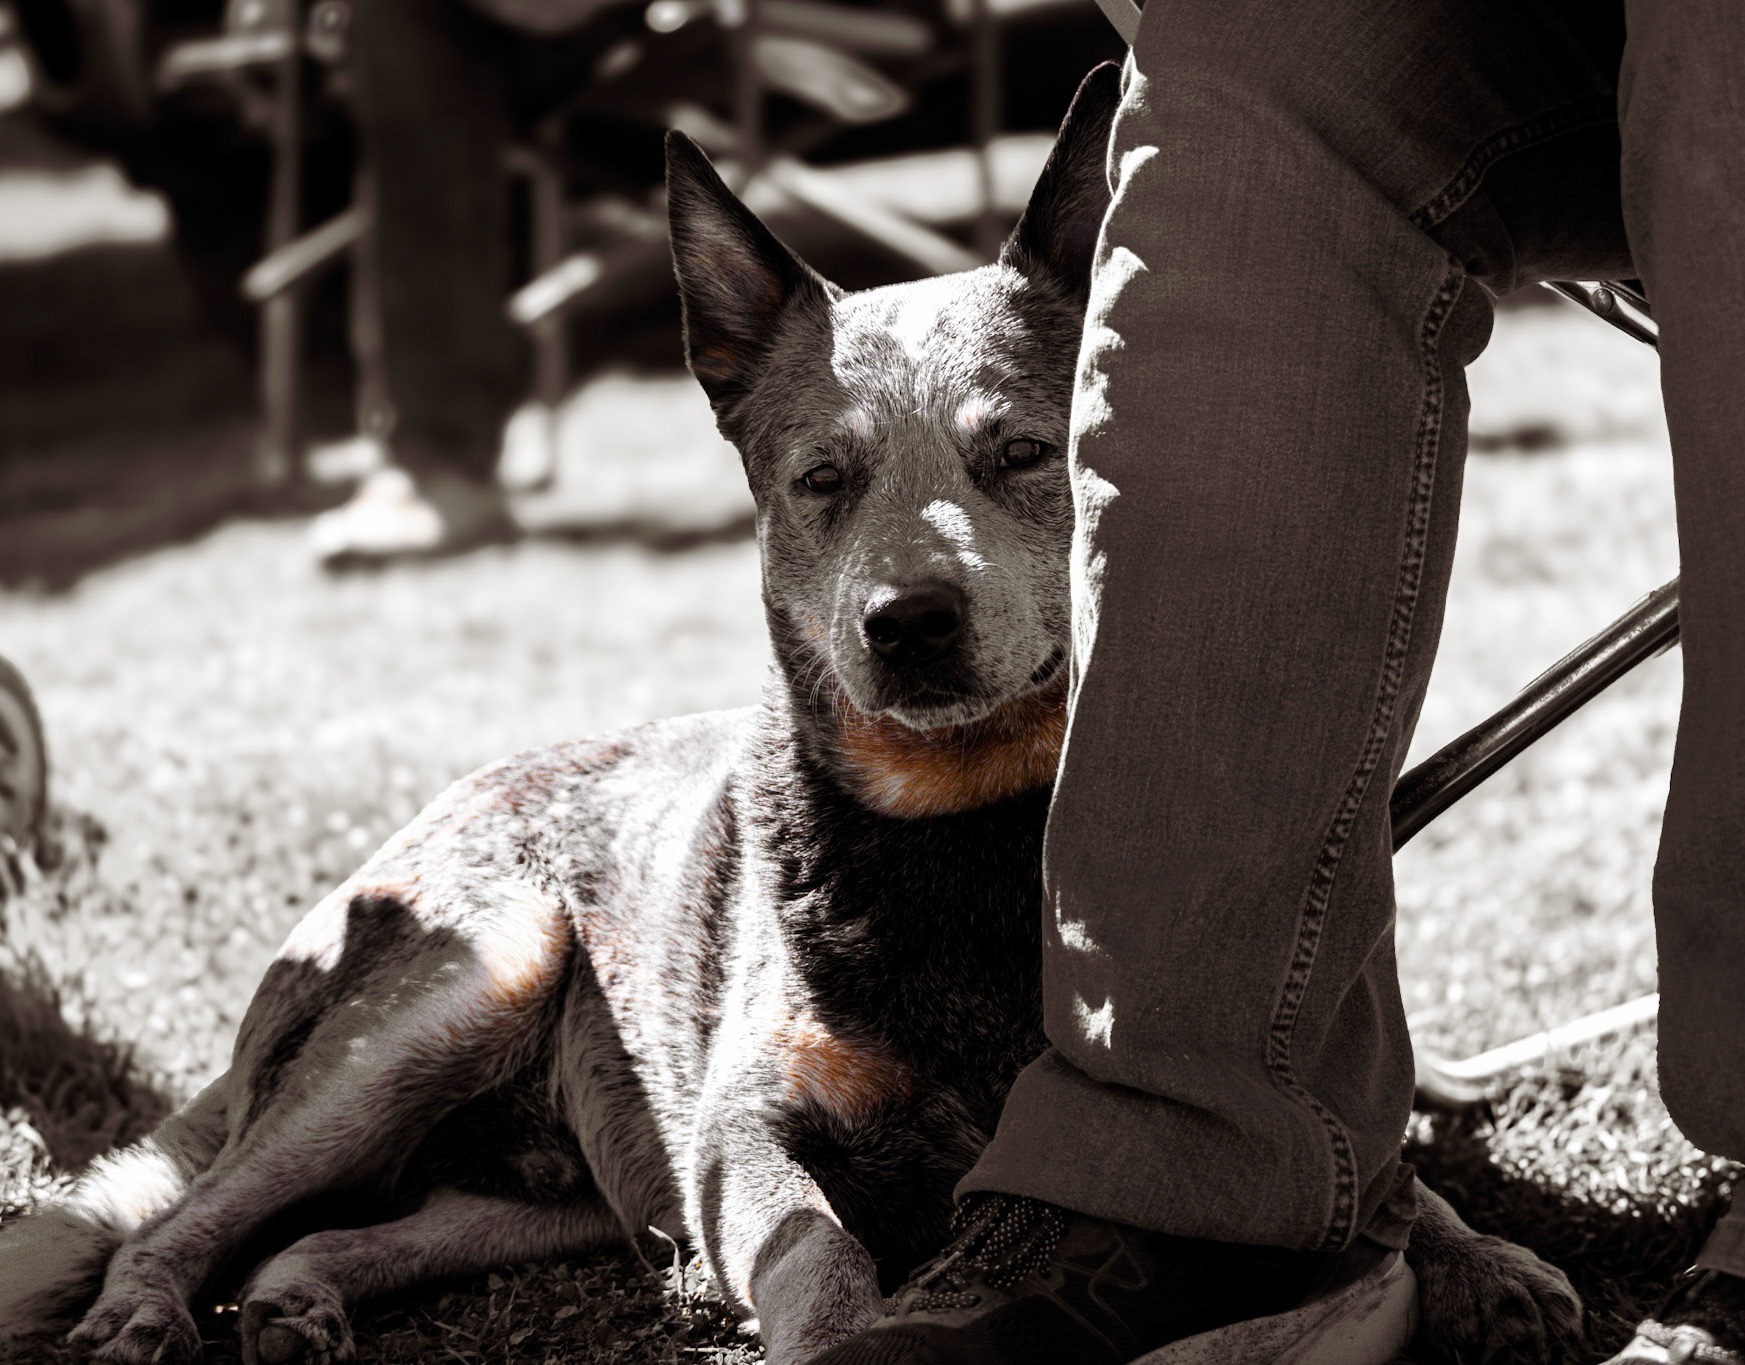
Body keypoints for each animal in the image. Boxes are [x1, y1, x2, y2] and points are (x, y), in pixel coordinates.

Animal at [0, 65, 1582, 1365]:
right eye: (822, 478)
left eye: (1024, 453)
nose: (909, 620)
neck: (966, 838)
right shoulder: (745, 1129)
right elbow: (818, 1259)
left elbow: (1378, 1176)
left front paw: (1482, 1258)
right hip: (458, 991)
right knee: (191, 1213)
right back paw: (144, 1308)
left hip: (564, 1192)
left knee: (344, 1230)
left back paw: (295, 1301)